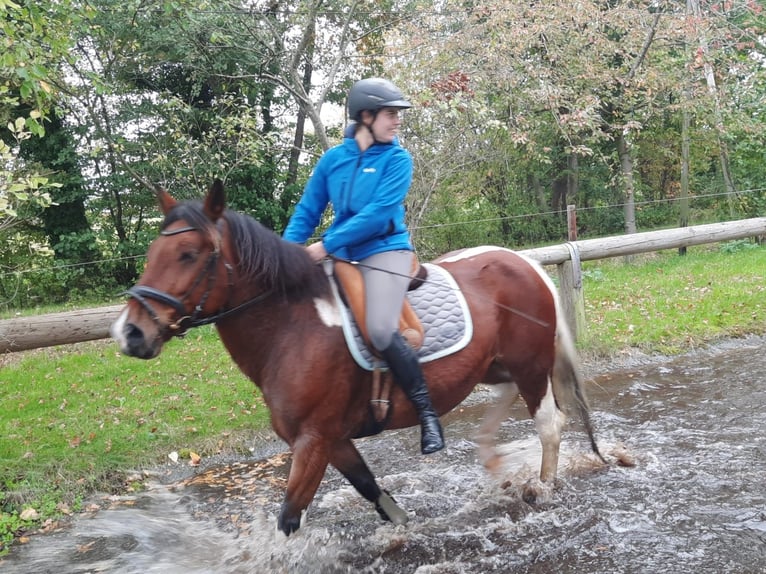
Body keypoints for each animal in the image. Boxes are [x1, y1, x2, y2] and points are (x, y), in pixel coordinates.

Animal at [110, 179, 605, 536]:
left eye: (189, 254)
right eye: (153, 253)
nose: (130, 333)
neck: (293, 326)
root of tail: (525, 263)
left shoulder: (313, 440)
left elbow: (289, 516)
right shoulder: (332, 440)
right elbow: (368, 487)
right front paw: (404, 526)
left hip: (530, 366)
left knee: (549, 424)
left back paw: (541, 489)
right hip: (497, 367)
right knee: (504, 405)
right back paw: (496, 465)